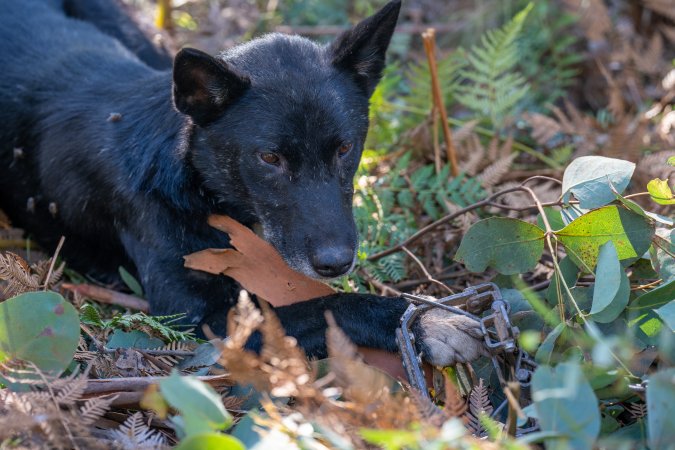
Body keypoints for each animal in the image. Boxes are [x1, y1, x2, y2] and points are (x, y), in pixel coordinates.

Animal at [0, 0, 486, 366]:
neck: (191, 178)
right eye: (269, 158)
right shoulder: (202, 315)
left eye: (345, 149)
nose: (336, 263)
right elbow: (328, 303)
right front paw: (422, 320)